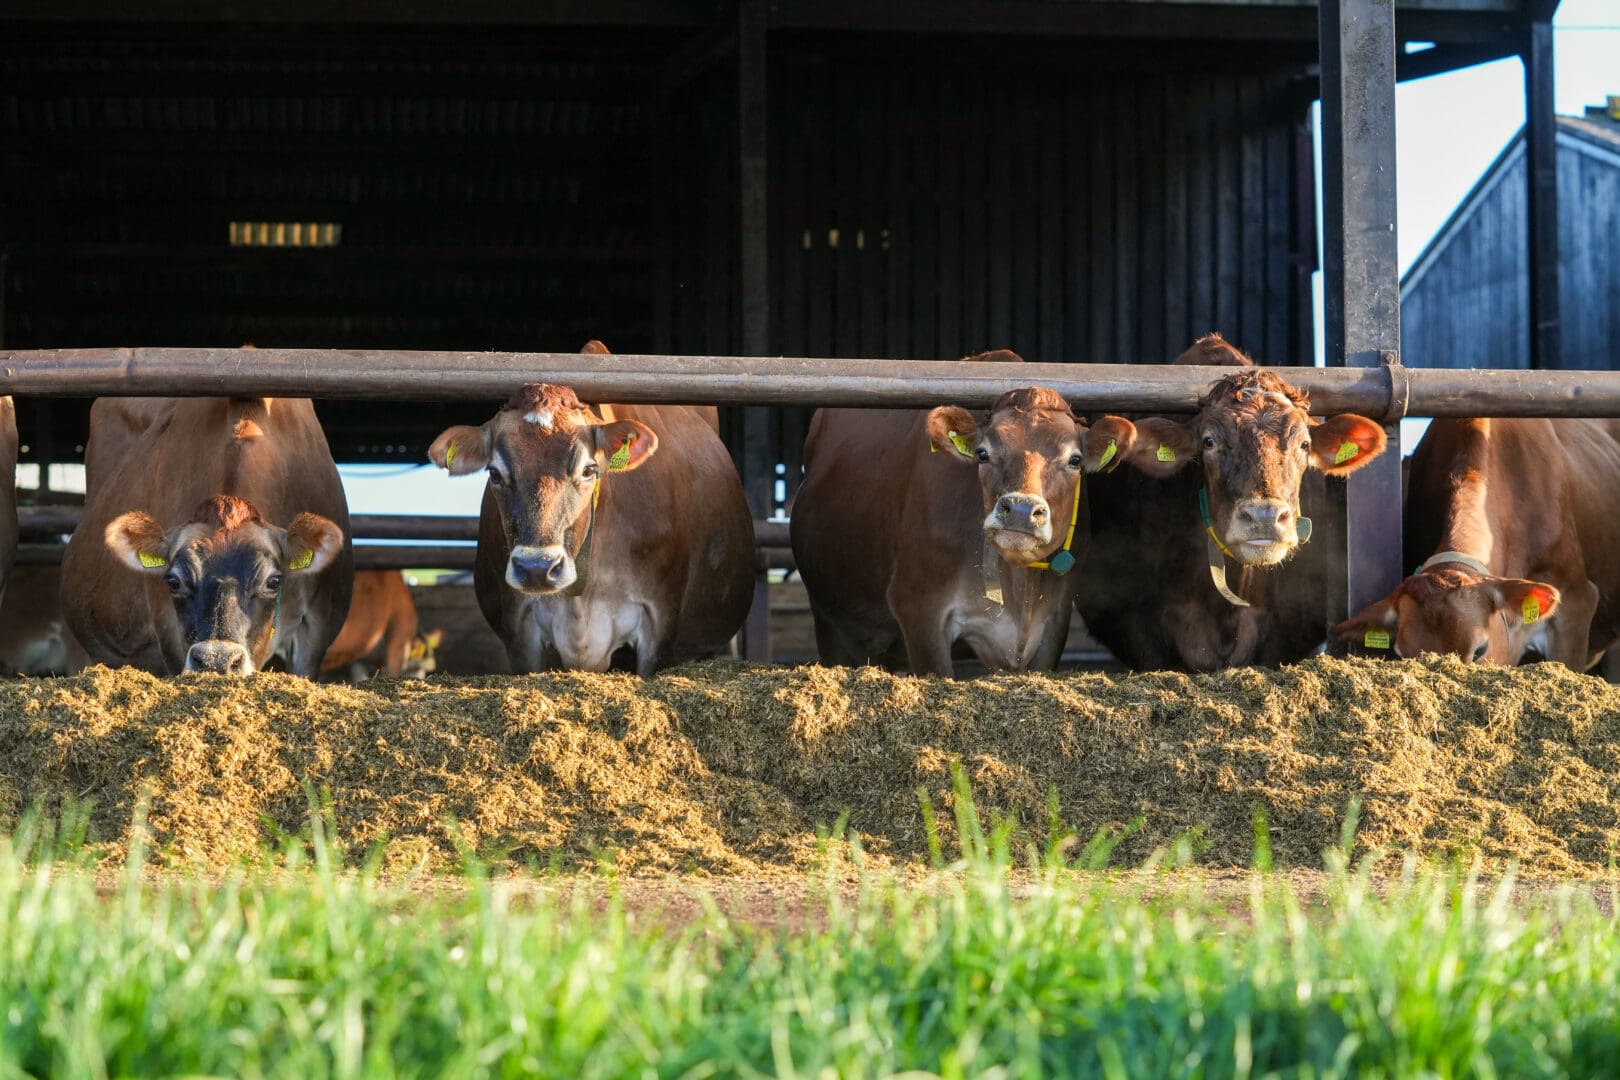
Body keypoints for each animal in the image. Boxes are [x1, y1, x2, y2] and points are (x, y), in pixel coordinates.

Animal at [790, 350, 1128, 676]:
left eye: (1075, 459)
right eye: (983, 453)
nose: (1020, 510)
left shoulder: (1055, 622)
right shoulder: (920, 609)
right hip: (830, 623)